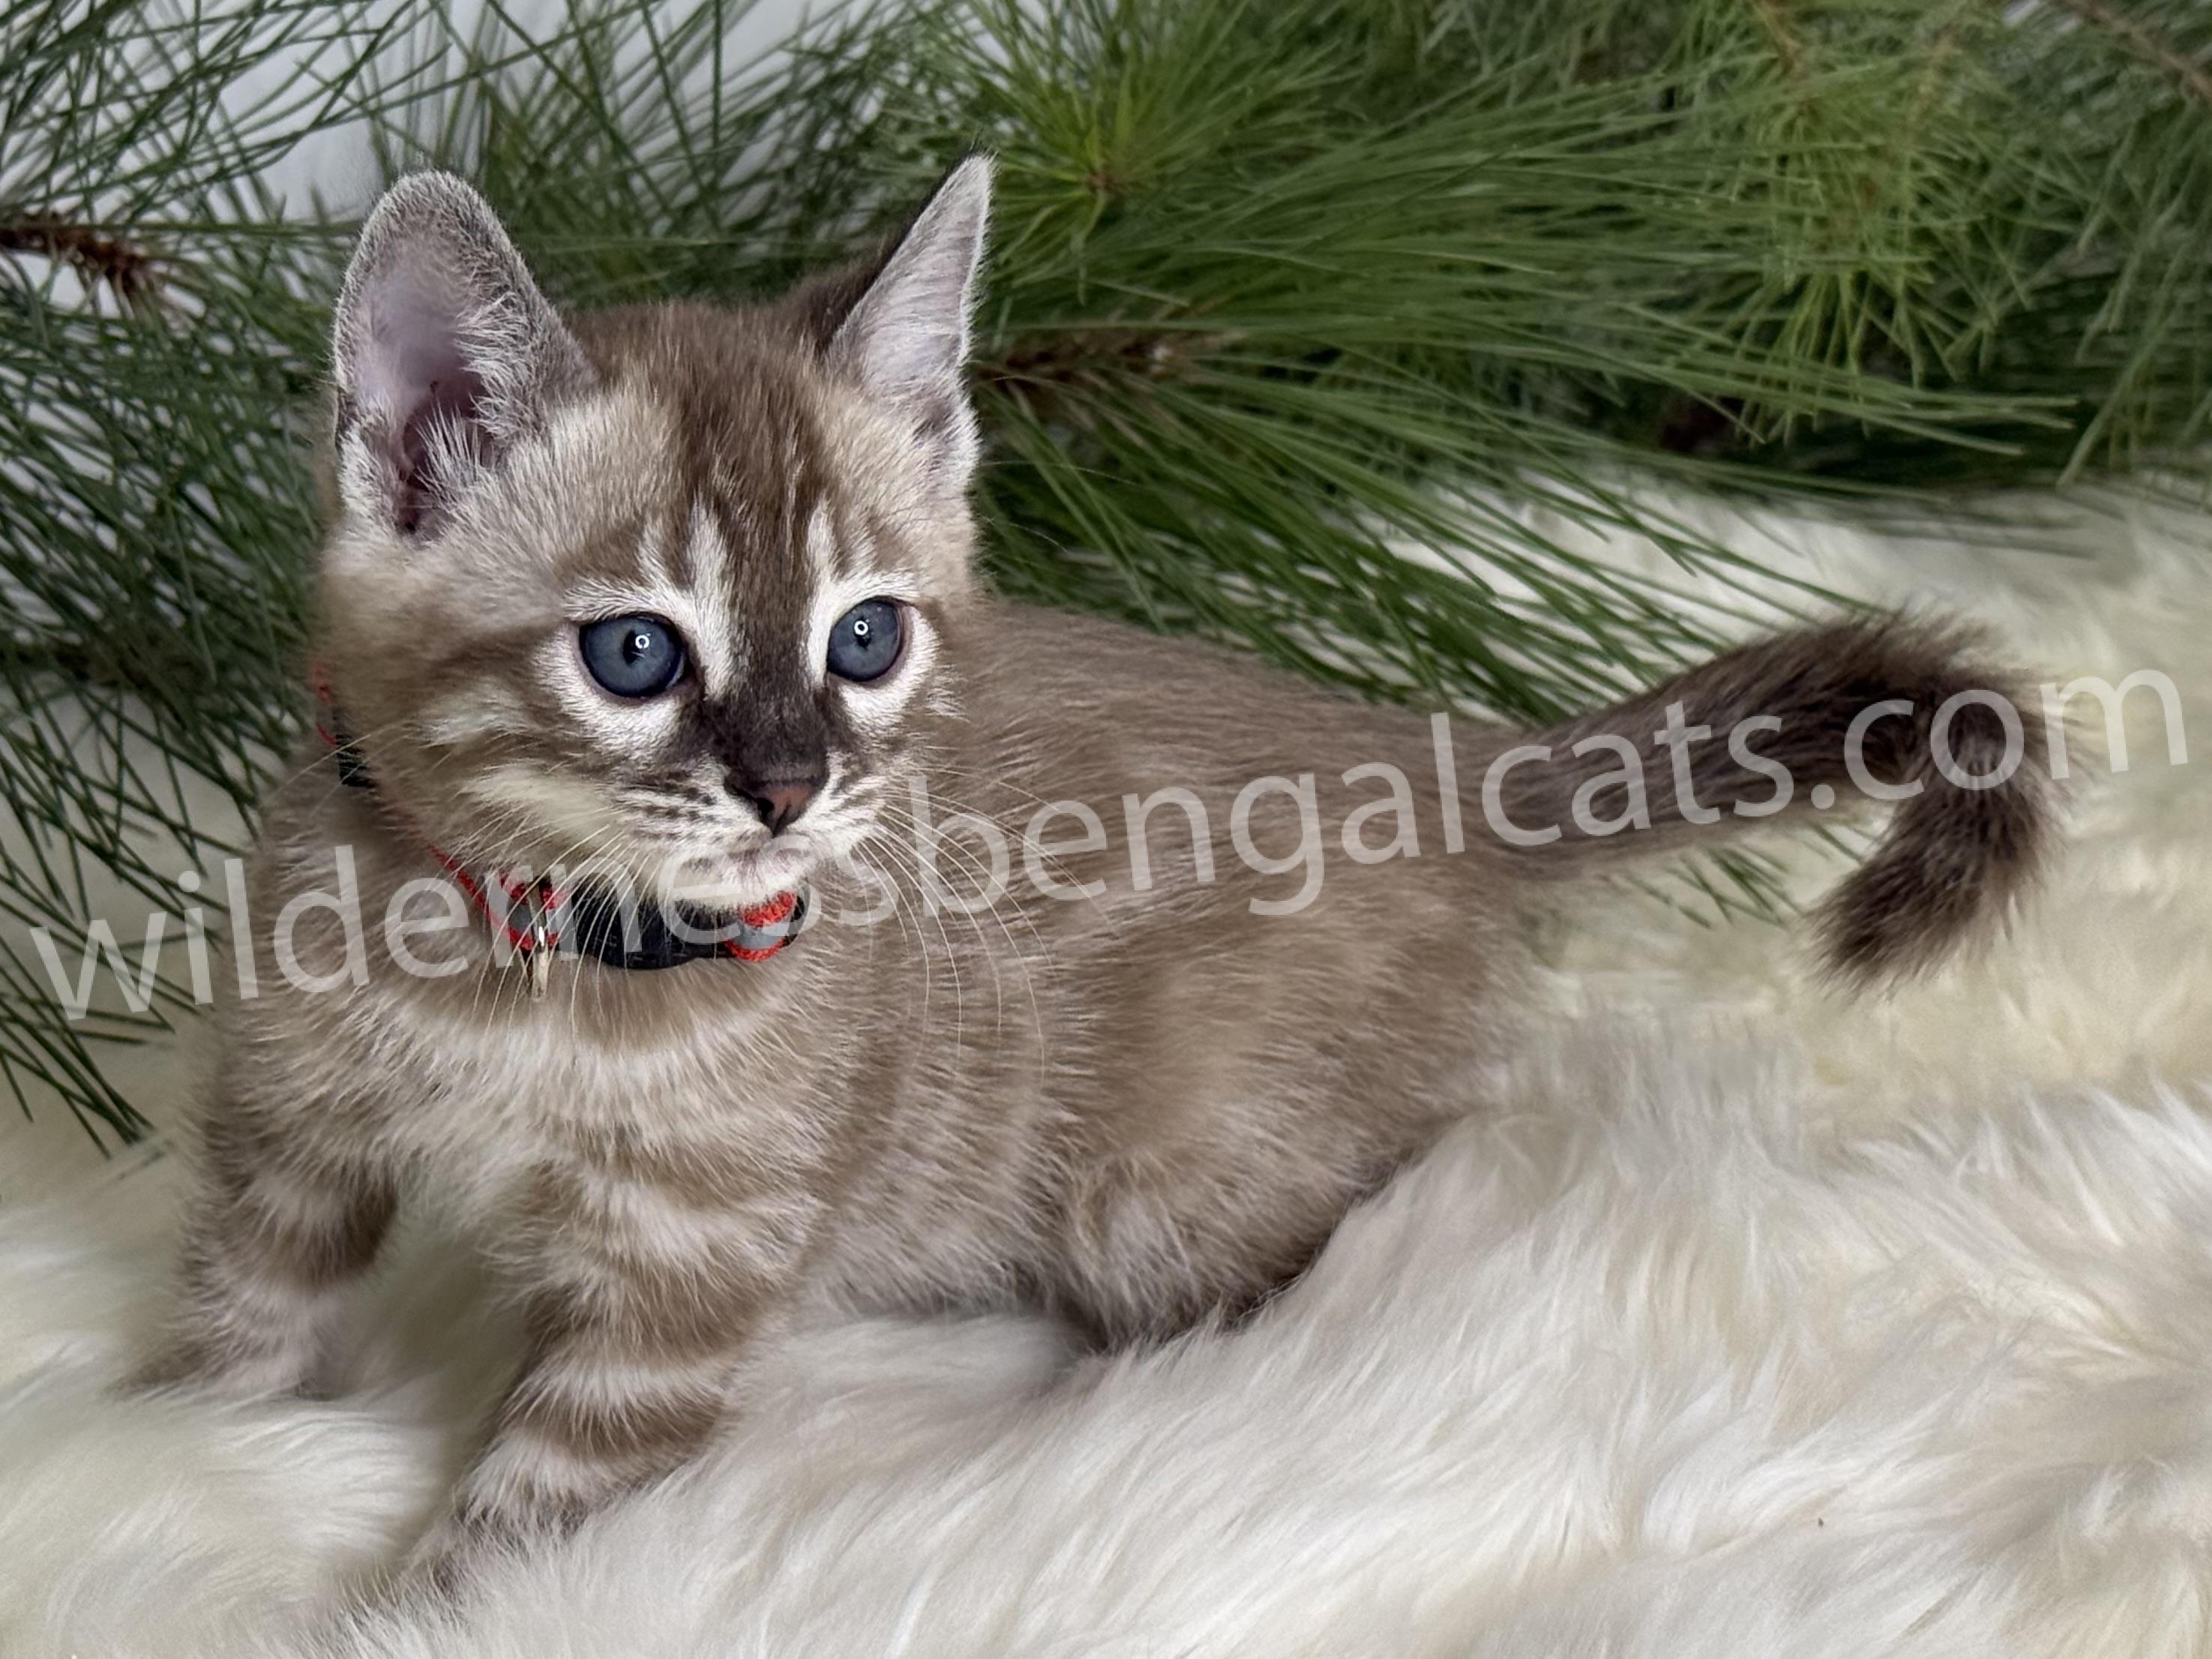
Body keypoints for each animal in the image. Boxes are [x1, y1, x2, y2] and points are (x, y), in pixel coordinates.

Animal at [133, 155, 2057, 1593]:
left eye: (865, 638)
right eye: (631, 653)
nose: (788, 785)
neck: (529, 956)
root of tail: (1438, 759)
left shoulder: (675, 1287)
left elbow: (520, 1518)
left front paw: (390, 1606)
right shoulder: (290, 1137)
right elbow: (238, 1334)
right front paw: (185, 1458)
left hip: (1165, 1190)